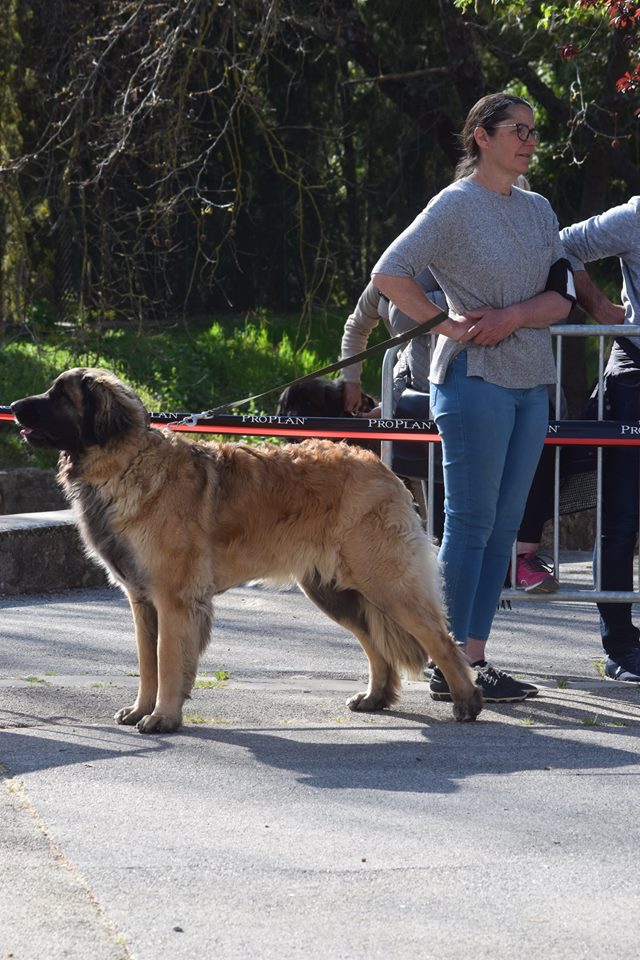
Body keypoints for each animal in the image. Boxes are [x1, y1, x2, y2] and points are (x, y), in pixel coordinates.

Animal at [11, 372, 480, 732]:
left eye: (59, 395)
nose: (14, 405)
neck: (125, 463)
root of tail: (380, 466)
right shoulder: (142, 601)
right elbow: (147, 661)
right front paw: (141, 709)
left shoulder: (173, 600)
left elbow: (167, 659)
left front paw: (162, 717)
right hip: (335, 591)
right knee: (374, 642)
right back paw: (375, 698)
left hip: (385, 581)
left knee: (441, 640)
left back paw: (467, 701)